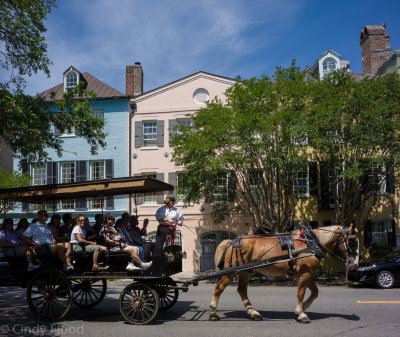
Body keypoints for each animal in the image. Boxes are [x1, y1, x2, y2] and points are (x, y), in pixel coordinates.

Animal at [209, 224, 360, 322]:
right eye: (353, 241)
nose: (355, 263)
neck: (310, 242)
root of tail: (231, 241)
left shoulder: (305, 273)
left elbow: (315, 292)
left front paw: (304, 307)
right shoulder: (305, 273)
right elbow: (301, 293)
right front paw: (301, 313)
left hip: (244, 271)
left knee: (242, 290)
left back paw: (254, 313)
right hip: (232, 272)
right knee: (219, 288)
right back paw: (213, 312)